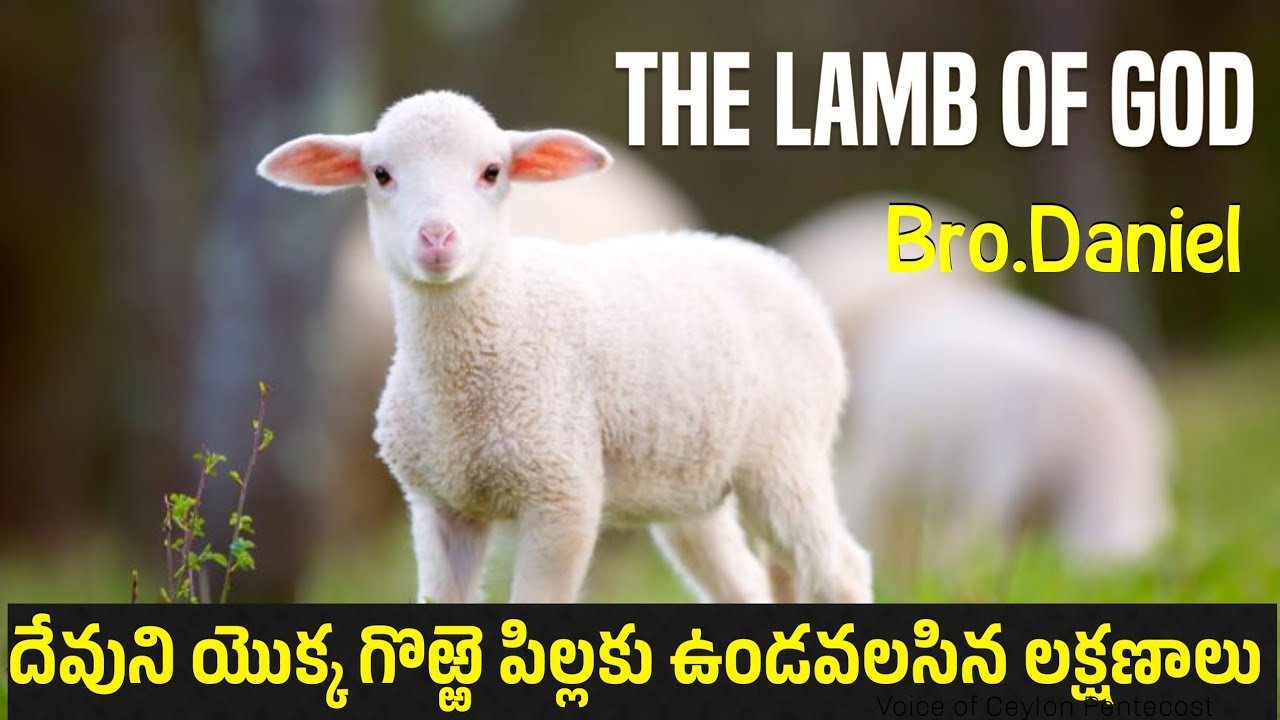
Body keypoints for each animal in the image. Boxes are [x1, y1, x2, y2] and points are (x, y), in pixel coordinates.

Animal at [258, 90, 872, 603]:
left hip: (787, 454)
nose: (436, 238)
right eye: (381, 174)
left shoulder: (562, 494)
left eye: (492, 172)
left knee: (841, 568)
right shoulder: (437, 502)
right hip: (693, 482)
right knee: (747, 582)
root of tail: (777, 265)